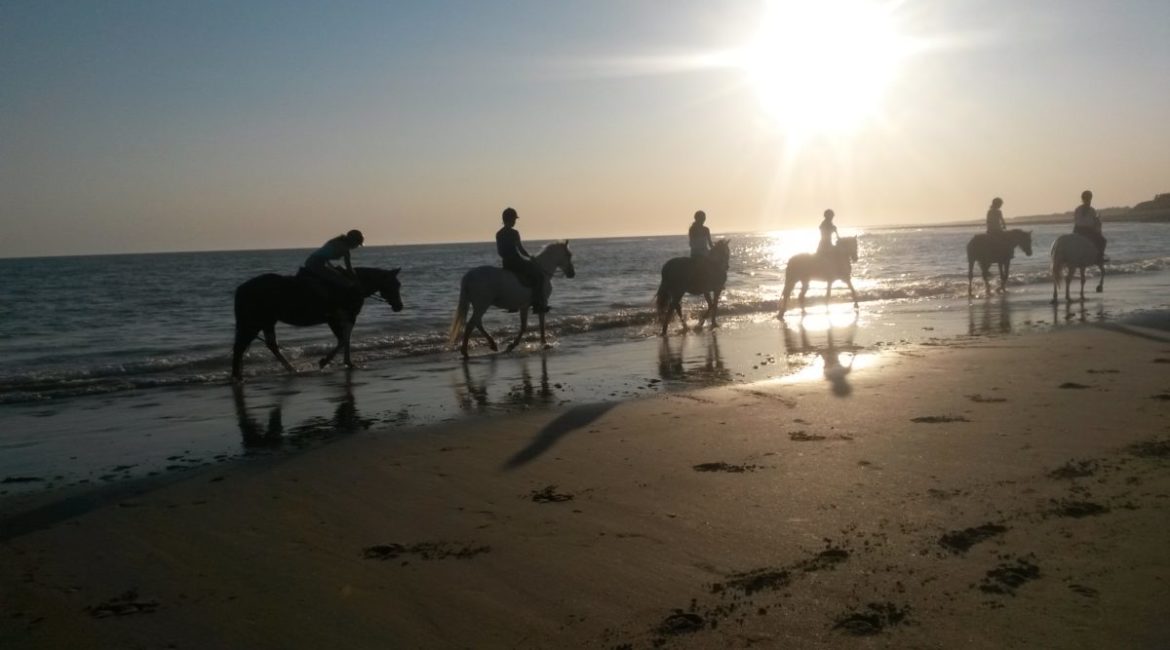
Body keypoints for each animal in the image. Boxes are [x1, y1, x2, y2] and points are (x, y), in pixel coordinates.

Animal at [230, 265, 404, 378]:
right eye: (394, 284)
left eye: (398, 284)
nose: (399, 306)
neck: (353, 285)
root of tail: (241, 289)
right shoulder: (339, 318)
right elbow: (343, 340)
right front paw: (325, 361)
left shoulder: (341, 319)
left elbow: (345, 340)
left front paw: (347, 363)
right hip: (254, 323)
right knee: (240, 348)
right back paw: (238, 377)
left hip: (267, 321)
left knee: (270, 345)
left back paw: (291, 369)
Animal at [446, 240, 575, 357]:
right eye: (569, 255)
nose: (572, 273)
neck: (542, 271)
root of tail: (468, 276)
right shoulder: (541, 303)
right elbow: (537, 325)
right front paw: (543, 344)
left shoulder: (525, 306)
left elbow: (525, 326)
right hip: (482, 304)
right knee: (472, 324)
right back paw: (466, 351)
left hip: (479, 305)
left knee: (477, 323)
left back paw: (492, 344)